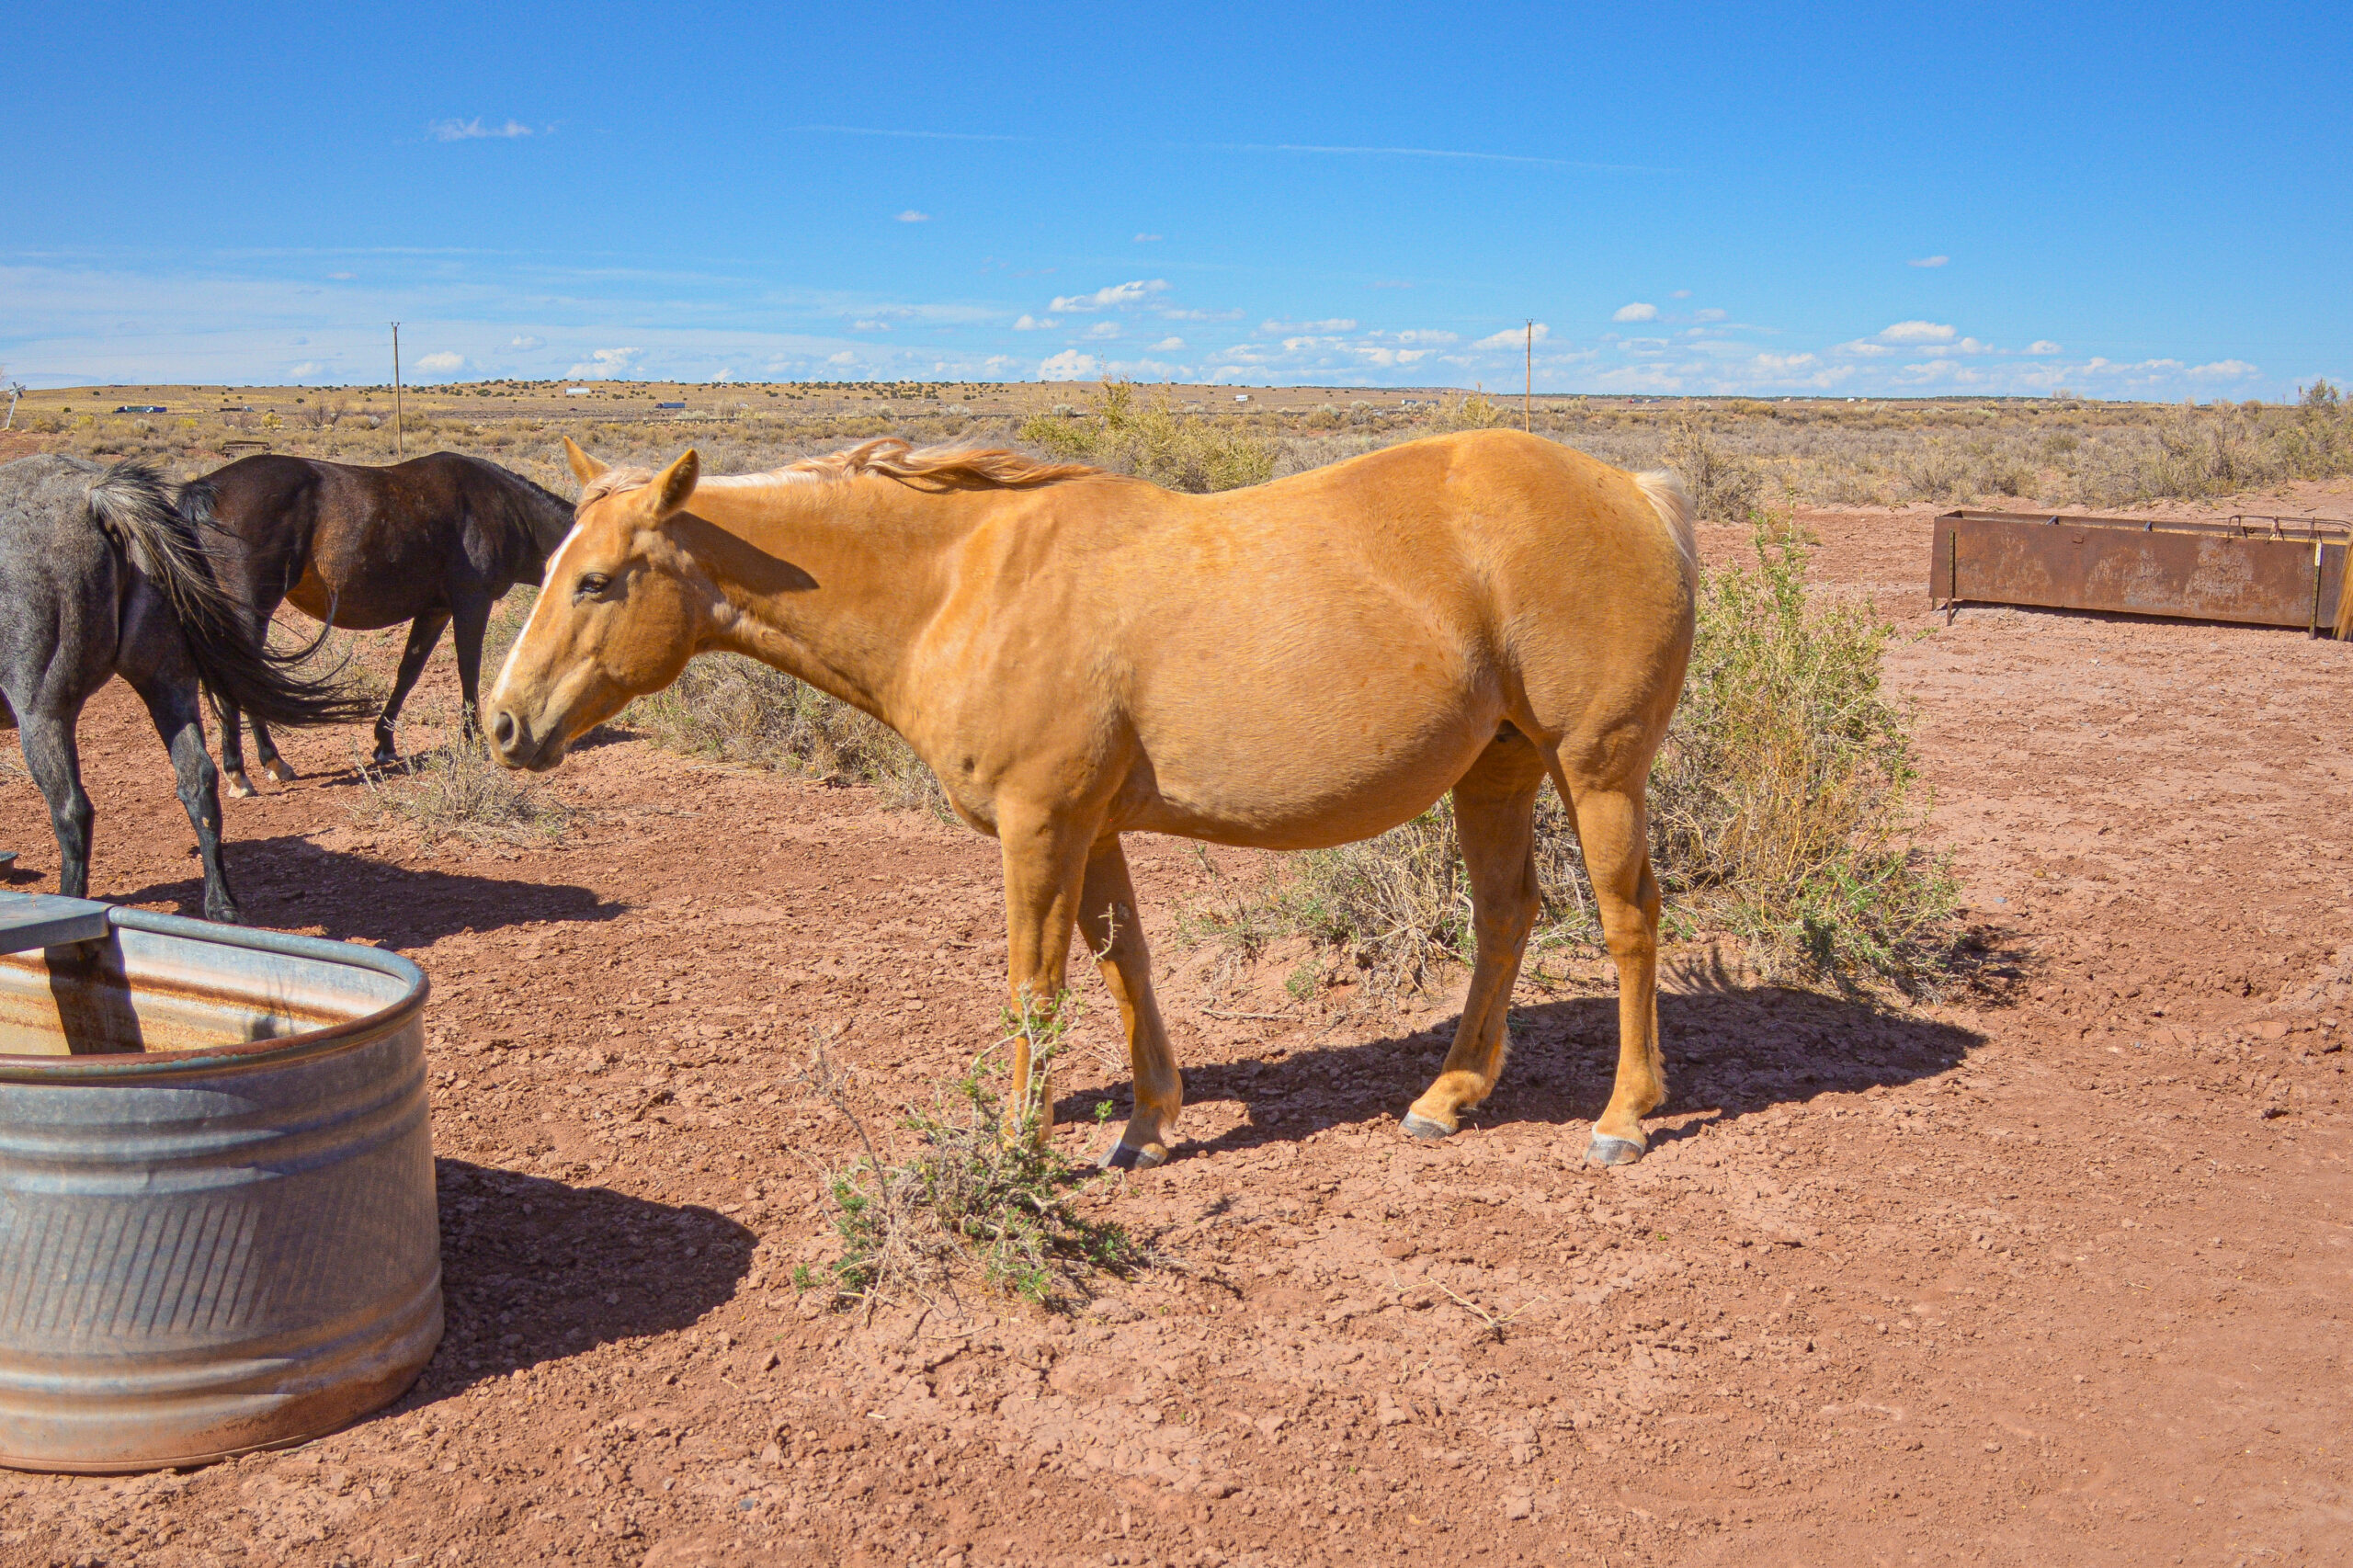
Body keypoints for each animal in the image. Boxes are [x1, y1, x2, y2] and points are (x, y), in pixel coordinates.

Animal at [0, 455, 373, 922]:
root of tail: (95, 495)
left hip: (43, 715)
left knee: (72, 810)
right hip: (167, 684)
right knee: (198, 779)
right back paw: (221, 905)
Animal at [188, 452, 575, 792]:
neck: (504, 507)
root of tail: (205, 490)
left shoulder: (435, 610)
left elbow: (409, 672)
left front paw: (384, 742)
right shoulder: (472, 603)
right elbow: (469, 670)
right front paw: (474, 739)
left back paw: (269, 764)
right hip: (251, 611)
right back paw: (243, 772)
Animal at [487, 431, 1696, 1169]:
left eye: (596, 580)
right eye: (548, 567)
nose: (503, 723)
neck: (962, 584)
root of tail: (1634, 491)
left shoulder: (1040, 827)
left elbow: (1037, 983)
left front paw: (1019, 1146)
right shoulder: (1094, 827)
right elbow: (1125, 963)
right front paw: (1147, 1127)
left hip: (1596, 771)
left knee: (1629, 921)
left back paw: (1623, 1115)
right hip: (1495, 770)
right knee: (1504, 918)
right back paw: (1448, 1095)